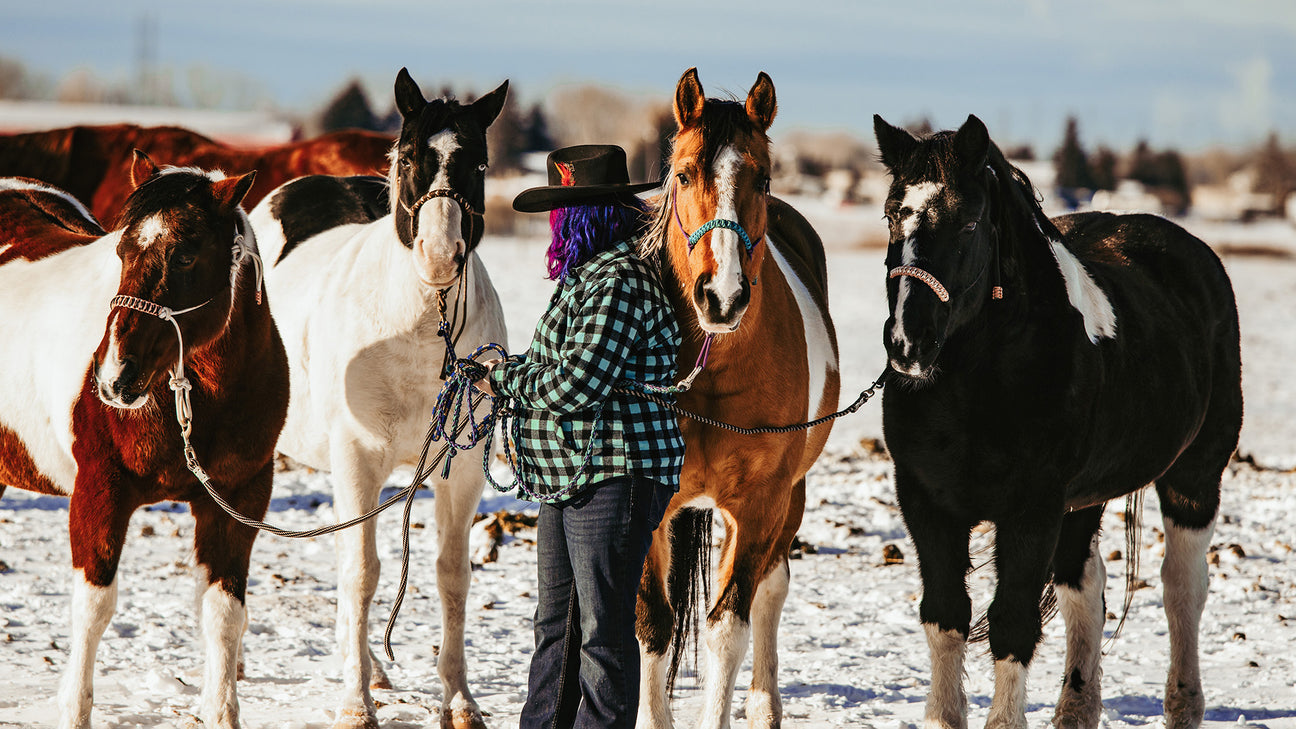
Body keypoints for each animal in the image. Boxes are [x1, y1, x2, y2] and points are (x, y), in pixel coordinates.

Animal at [0, 150, 286, 721]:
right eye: (122, 250)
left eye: (186, 256)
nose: (114, 377)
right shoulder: (99, 492)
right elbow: (93, 608)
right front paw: (74, 710)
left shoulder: (239, 498)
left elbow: (223, 613)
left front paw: (222, 712)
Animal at [244, 68, 508, 726]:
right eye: (410, 156)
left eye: (480, 163)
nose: (439, 256)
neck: (415, 328)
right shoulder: (358, 458)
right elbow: (361, 574)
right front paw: (355, 704)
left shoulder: (463, 467)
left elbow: (450, 576)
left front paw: (459, 700)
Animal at [635, 68, 839, 726]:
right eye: (682, 173)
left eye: (764, 177)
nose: (721, 297)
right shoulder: (648, 503)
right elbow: (654, 625)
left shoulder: (757, 504)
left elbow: (728, 628)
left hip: (787, 498)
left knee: (771, 590)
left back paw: (764, 706)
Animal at [876, 113, 1238, 726]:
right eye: (890, 213)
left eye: (968, 221)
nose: (908, 343)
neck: (976, 385)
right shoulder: (927, 502)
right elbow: (946, 615)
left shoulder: (1033, 509)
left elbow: (1012, 623)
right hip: (1084, 501)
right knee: (1084, 588)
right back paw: (1076, 709)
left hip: (1194, 476)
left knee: (1182, 588)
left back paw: (1184, 703)